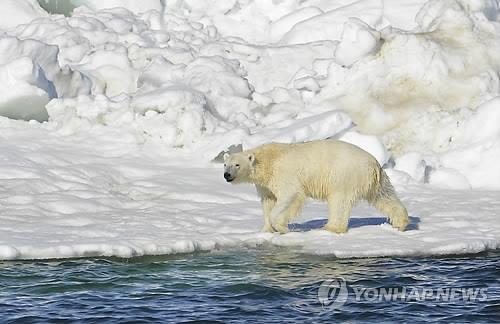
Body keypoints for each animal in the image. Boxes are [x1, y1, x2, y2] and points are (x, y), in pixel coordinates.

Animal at [225, 139, 408, 233]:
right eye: (225, 164)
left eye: (237, 165)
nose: (227, 175)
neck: (268, 160)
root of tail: (373, 164)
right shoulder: (265, 184)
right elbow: (268, 201)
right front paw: (266, 229)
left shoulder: (284, 174)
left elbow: (290, 195)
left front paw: (281, 227)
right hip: (376, 180)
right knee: (385, 196)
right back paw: (401, 222)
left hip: (343, 175)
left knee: (339, 201)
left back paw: (331, 227)